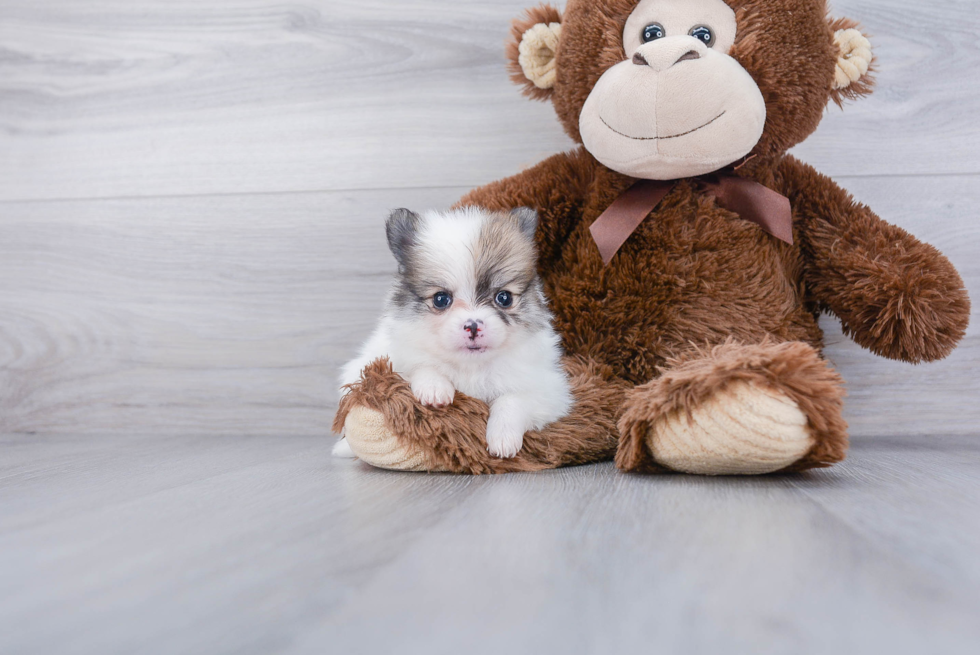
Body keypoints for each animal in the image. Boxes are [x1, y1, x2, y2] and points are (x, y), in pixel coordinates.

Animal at [334, 208, 572, 458]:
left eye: (504, 298)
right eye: (441, 299)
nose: (473, 326)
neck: (472, 366)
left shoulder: (548, 389)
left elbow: (513, 400)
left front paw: (503, 439)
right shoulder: (390, 364)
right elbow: (421, 367)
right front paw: (434, 389)